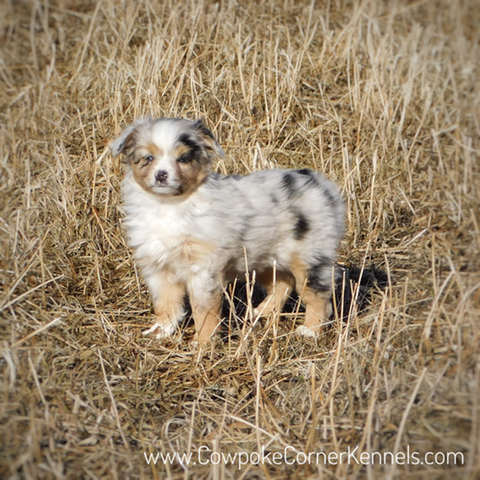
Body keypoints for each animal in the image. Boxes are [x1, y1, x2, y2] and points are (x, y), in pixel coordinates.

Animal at [111, 118, 344, 344]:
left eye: (183, 159)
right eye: (148, 158)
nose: (161, 175)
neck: (167, 205)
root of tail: (323, 185)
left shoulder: (203, 269)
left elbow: (203, 310)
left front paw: (203, 343)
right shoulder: (158, 266)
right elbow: (166, 302)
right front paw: (160, 331)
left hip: (310, 257)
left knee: (318, 296)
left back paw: (310, 331)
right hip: (265, 254)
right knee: (283, 283)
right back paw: (261, 312)